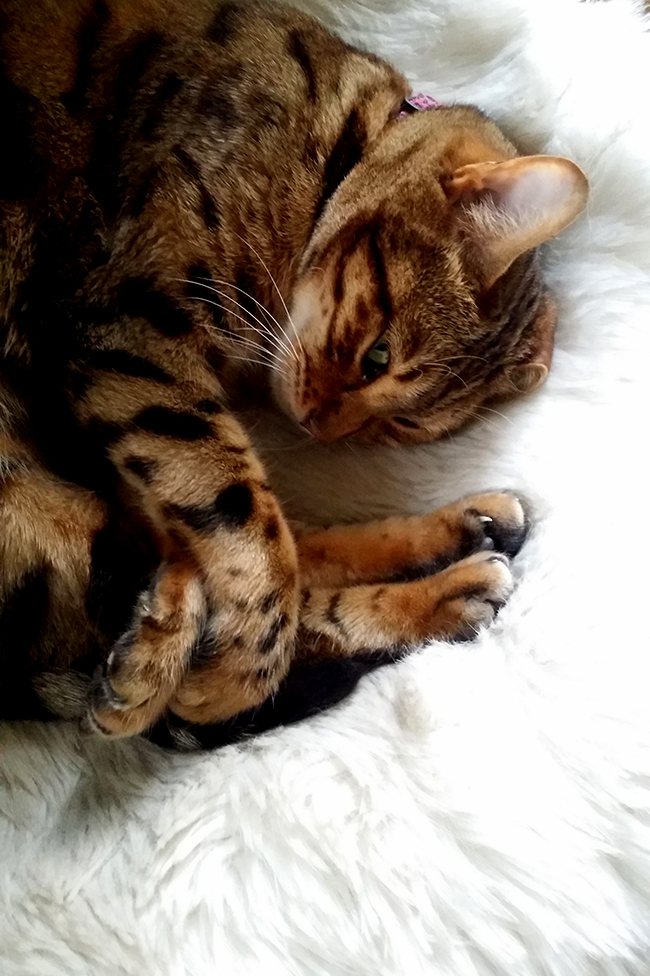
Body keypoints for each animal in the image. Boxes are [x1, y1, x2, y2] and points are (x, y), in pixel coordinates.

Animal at [0, 0, 588, 748]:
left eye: (403, 423)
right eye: (378, 356)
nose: (321, 426)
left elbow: (241, 523)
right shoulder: (127, 322)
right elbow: (243, 520)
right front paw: (232, 669)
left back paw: (461, 541)